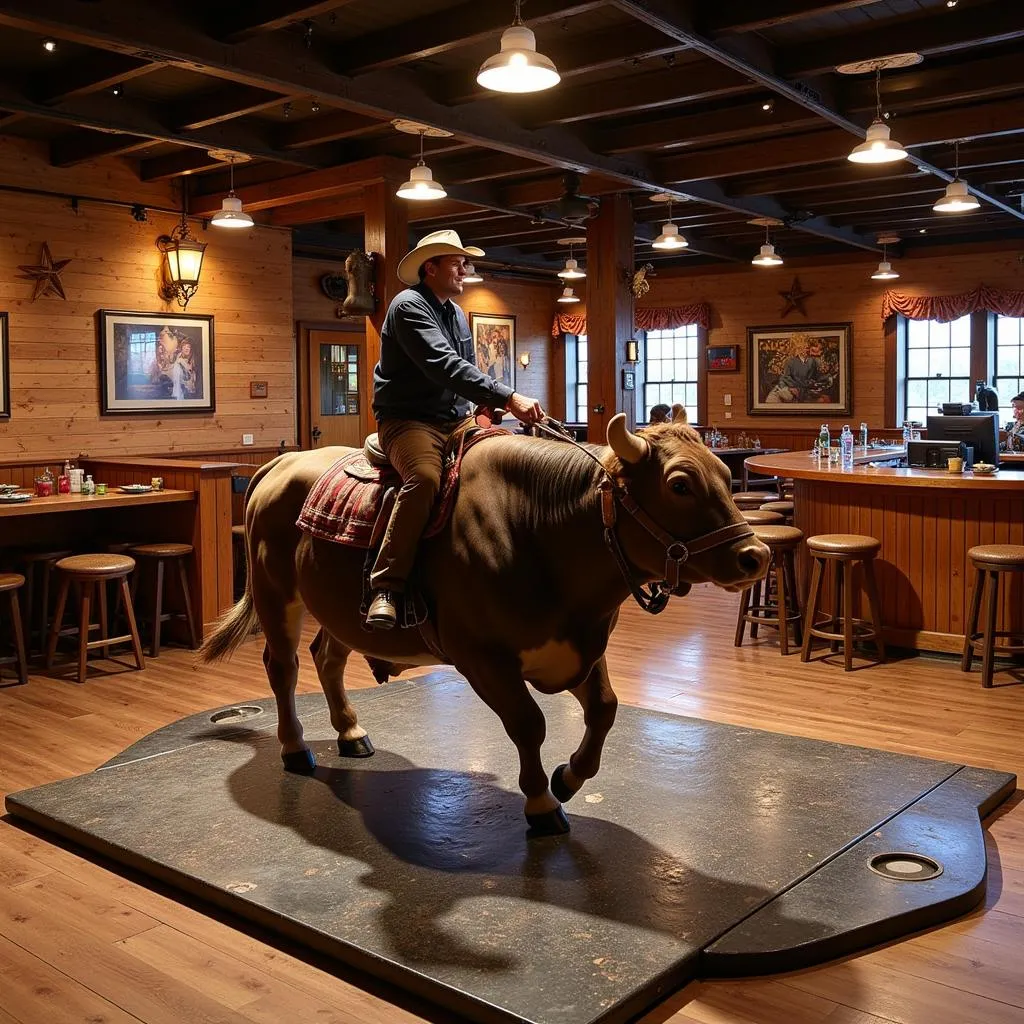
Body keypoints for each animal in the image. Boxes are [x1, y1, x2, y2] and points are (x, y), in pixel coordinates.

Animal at [199, 411, 770, 835]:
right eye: (680, 484)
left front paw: (568, 778)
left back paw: (350, 731)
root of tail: (280, 463)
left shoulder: (578, 647)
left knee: (327, 658)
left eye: (725, 476)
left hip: (340, 612)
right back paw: (296, 748)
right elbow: (529, 723)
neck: (538, 528)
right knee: (283, 667)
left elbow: (605, 709)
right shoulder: (483, 659)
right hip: (276, 594)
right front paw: (542, 803)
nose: (756, 556)